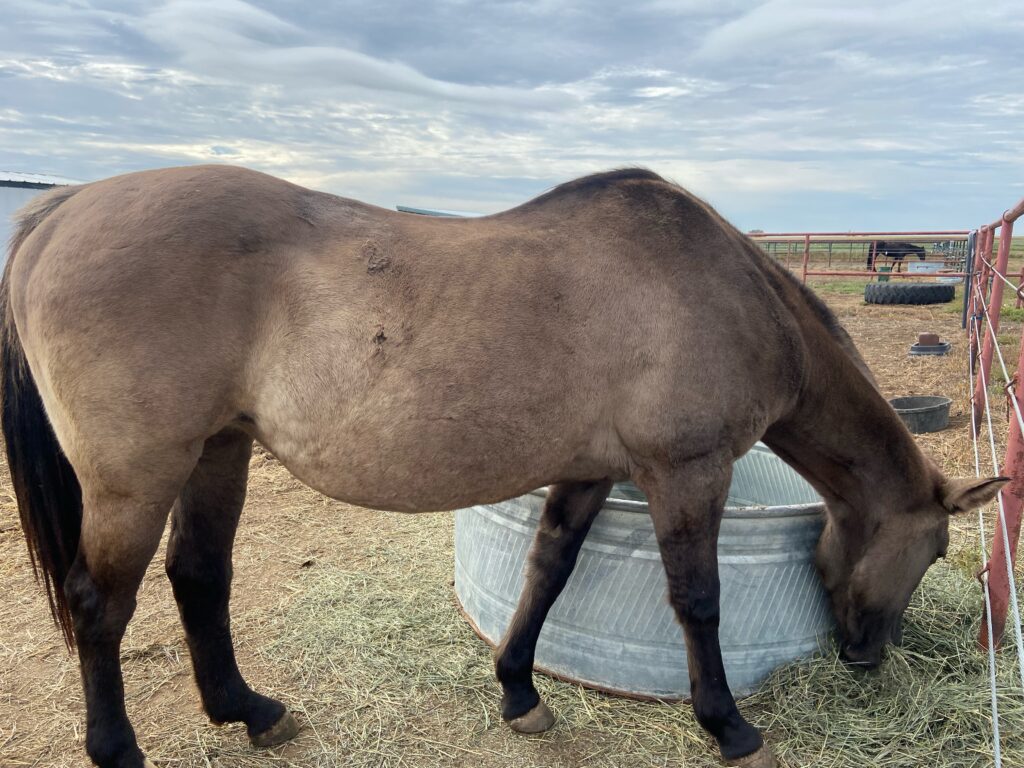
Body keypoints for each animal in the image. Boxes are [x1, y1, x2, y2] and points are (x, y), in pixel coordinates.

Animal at [2, 165, 1003, 768]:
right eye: (935, 553)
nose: (868, 656)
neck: (727, 295)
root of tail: (63, 207)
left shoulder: (594, 469)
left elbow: (548, 569)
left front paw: (520, 691)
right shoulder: (687, 472)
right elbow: (699, 601)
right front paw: (727, 724)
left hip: (218, 450)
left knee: (199, 576)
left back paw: (248, 711)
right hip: (137, 476)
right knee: (100, 605)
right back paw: (120, 747)